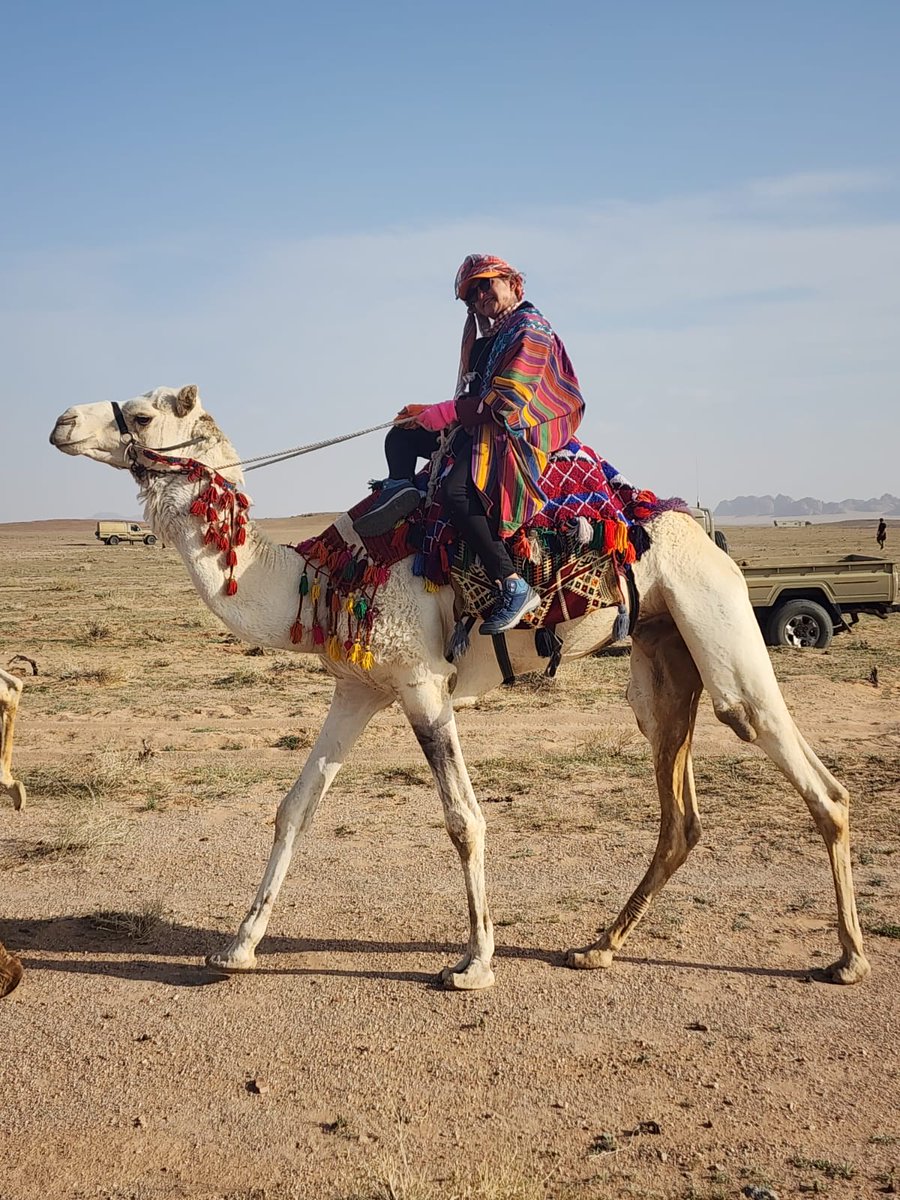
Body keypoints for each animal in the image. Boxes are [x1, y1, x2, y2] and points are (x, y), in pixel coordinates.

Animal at [49, 385, 870, 990]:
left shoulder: (422, 684)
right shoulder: (359, 690)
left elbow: (462, 819)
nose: (60, 421)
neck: (313, 580)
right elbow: (294, 809)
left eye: (143, 412)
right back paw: (598, 947)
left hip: (720, 629)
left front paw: (473, 963)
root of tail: (703, 535)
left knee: (808, 776)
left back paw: (849, 959)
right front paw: (236, 949)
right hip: (663, 661)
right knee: (679, 816)